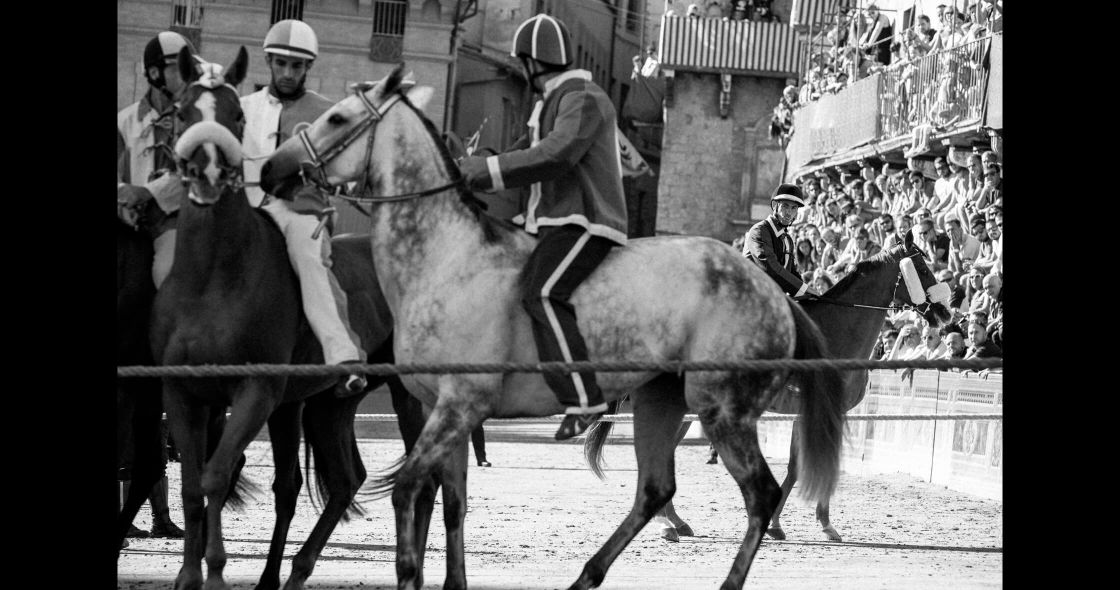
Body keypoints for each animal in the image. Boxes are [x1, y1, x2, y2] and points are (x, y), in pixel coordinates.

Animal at [148, 47, 431, 590]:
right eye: (183, 112)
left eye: (235, 116)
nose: (209, 172)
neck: (214, 276)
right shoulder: (183, 394)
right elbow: (193, 485)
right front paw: (189, 575)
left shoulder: (255, 392)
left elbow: (218, 473)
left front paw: (215, 572)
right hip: (326, 405)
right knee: (343, 480)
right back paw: (292, 572)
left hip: (408, 397)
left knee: (423, 485)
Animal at [260, 64, 847, 590]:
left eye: (337, 117)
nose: (270, 171)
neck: (447, 256)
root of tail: (773, 294)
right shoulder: (444, 411)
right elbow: (451, 505)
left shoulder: (459, 405)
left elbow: (407, 491)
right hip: (660, 402)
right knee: (655, 491)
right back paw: (587, 575)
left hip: (721, 409)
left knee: (760, 495)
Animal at [586, 243, 955, 543]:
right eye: (922, 269)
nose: (946, 313)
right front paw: (824, 524)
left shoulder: (803, 414)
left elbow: (793, 470)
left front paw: (779, 525)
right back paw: (665, 525)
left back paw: (676, 522)